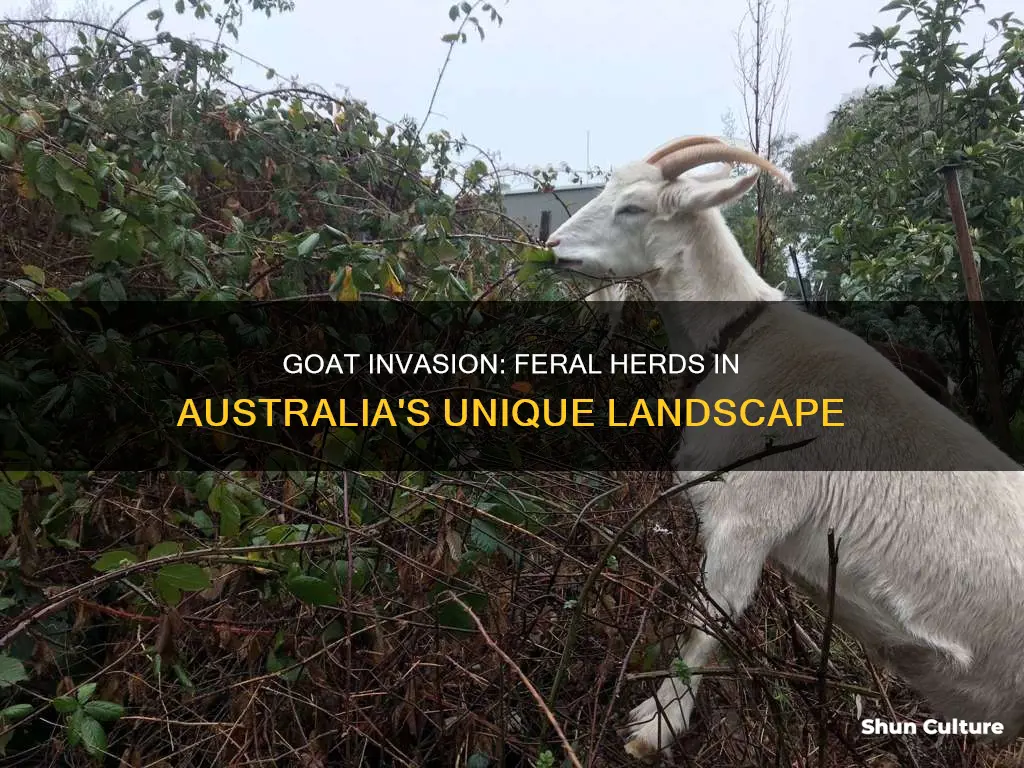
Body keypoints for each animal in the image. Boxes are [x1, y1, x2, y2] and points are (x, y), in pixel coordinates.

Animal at [543, 135, 1024, 762]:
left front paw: (654, 727)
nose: (553, 248)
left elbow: (706, 625)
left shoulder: (748, 516)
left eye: (634, 208)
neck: (744, 340)